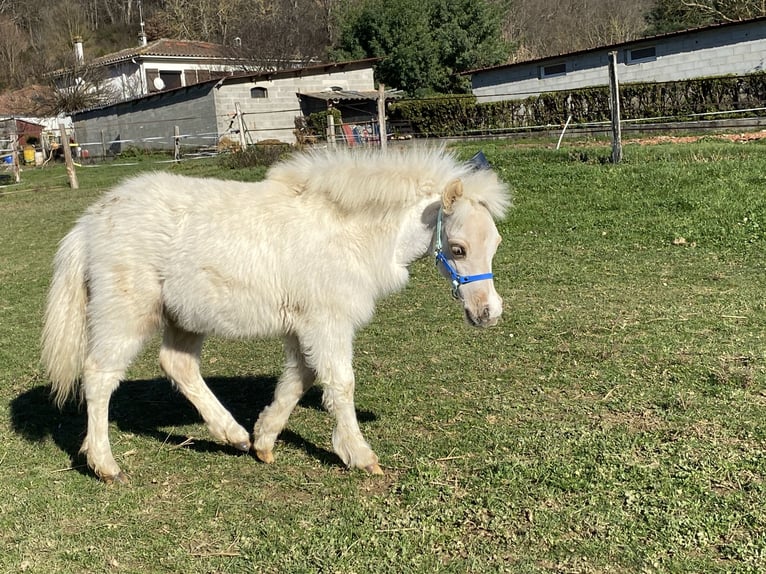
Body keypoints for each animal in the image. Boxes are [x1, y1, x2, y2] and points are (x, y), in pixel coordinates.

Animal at [41, 146, 511, 483]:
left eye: (496, 243)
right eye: (458, 249)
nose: (488, 313)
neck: (348, 232)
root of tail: (89, 223)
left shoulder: (304, 326)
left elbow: (298, 379)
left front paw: (264, 441)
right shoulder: (327, 321)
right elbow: (340, 383)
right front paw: (360, 456)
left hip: (183, 317)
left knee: (178, 365)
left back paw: (233, 436)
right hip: (125, 313)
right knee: (99, 376)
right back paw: (105, 465)